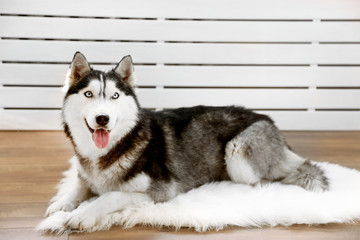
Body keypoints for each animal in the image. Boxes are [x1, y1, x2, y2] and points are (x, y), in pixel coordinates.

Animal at [43, 51, 328, 232]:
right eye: (88, 94)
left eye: (114, 96)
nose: (102, 118)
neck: (109, 150)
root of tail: (269, 120)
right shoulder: (86, 176)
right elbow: (78, 187)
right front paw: (60, 204)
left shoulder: (158, 192)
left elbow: (108, 196)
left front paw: (81, 215)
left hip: (237, 153)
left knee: (266, 179)